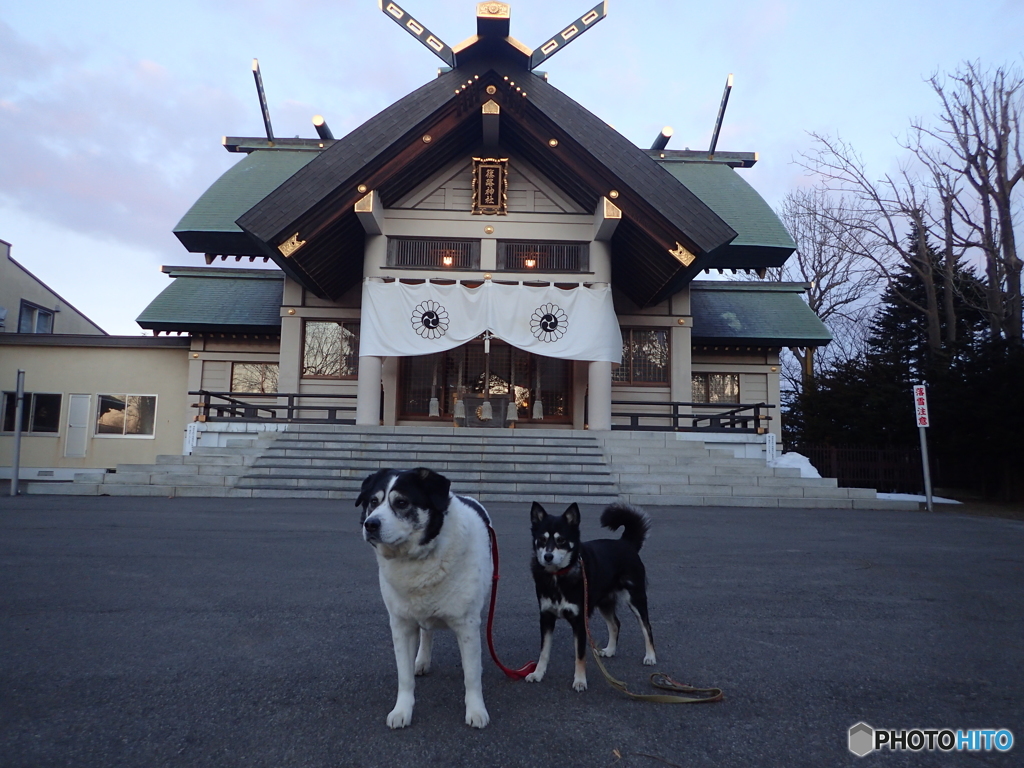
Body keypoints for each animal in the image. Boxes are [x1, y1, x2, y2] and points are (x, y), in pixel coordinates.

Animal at [356, 466, 491, 729]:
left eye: (401, 502)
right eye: (373, 502)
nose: (370, 524)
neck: (420, 559)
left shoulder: (467, 624)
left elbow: (471, 676)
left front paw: (476, 710)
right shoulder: (401, 623)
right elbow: (404, 676)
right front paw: (402, 710)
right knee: (426, 633)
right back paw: (421, 661)